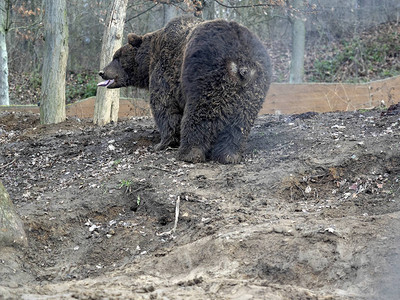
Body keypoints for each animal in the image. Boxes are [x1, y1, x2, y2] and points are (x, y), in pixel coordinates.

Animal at [98, 16, 272, 164]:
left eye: (116, 57)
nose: (102, 72)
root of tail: (240, 63)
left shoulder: (165, 71)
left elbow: (164, 107)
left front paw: (161, 143)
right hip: (254, 86)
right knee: (241, 120)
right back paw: (229, 155)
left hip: (205, 74)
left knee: (199, 114)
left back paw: (189, 153)